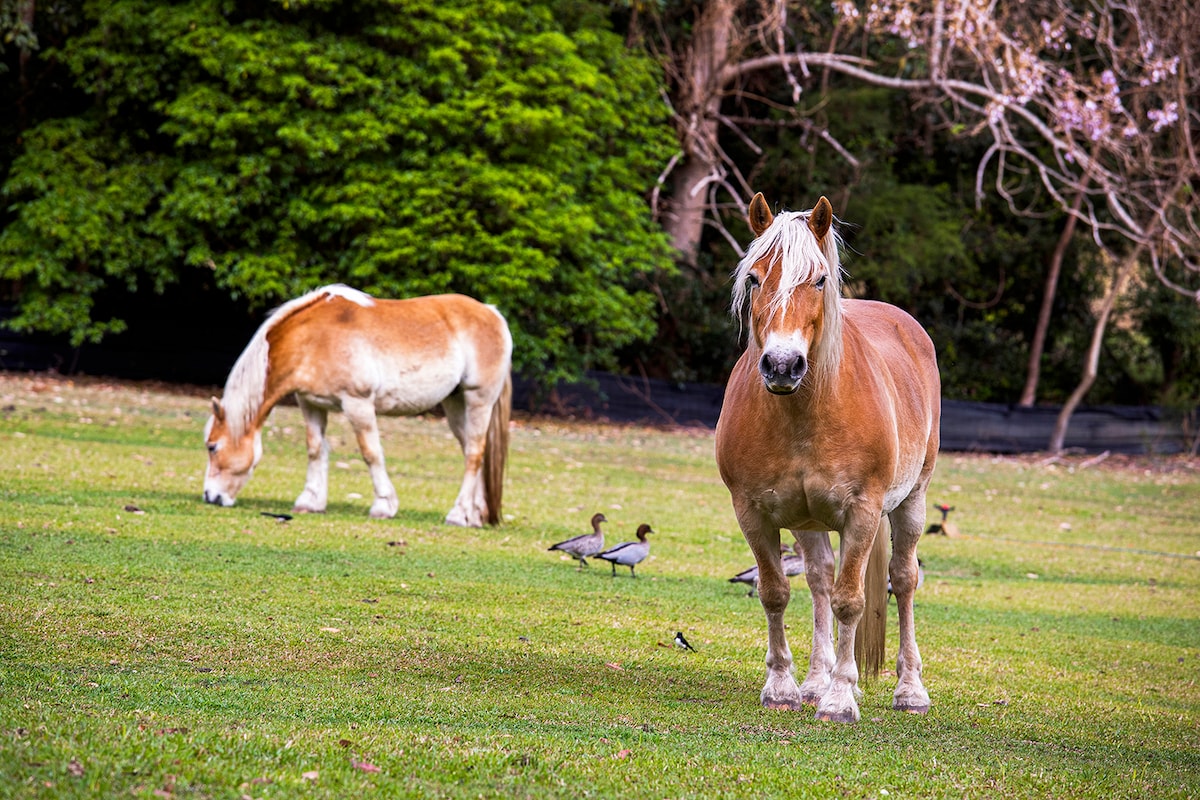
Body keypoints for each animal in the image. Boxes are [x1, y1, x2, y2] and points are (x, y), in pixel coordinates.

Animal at [201, 284, 511, 527]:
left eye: (212, 447)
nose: (210, 497)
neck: (313, 338)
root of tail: (493, 314)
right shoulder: (310, 403)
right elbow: (315, 449)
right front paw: (310, 501)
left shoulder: (357, 403)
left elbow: (370, 453)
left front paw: (384, 505)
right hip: (456, 405)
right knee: (472, 452)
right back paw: (474, 515)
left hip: (478, 400)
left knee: (474, 454)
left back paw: (457, 515)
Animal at [715, 194, 940, 724]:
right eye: (754, 278)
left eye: (818, 280)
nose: (782, 365)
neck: (803, 414)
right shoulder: (753, 512)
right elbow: (776, 592)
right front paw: (783, 687)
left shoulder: (862, 512)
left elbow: (850, 601)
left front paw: (840, 698)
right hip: (808, 520)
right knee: (819, 580)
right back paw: (815, 681)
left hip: (912, 501)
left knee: (903, 581)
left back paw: (909, 690)